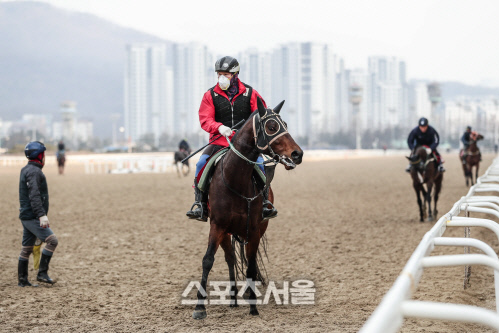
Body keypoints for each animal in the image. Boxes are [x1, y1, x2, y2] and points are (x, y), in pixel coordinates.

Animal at [192, 98, 304, 320]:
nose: (297, 154)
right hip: (226, 232)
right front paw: (200, 307)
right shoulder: (217, 226)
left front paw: (253, 306)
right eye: (272, 127)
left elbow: (251, 266)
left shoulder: (253, 229)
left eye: (285, 124)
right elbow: (208, 260)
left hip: (258, 228)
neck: (235, 179)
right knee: (230, 258)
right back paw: (233, 299)